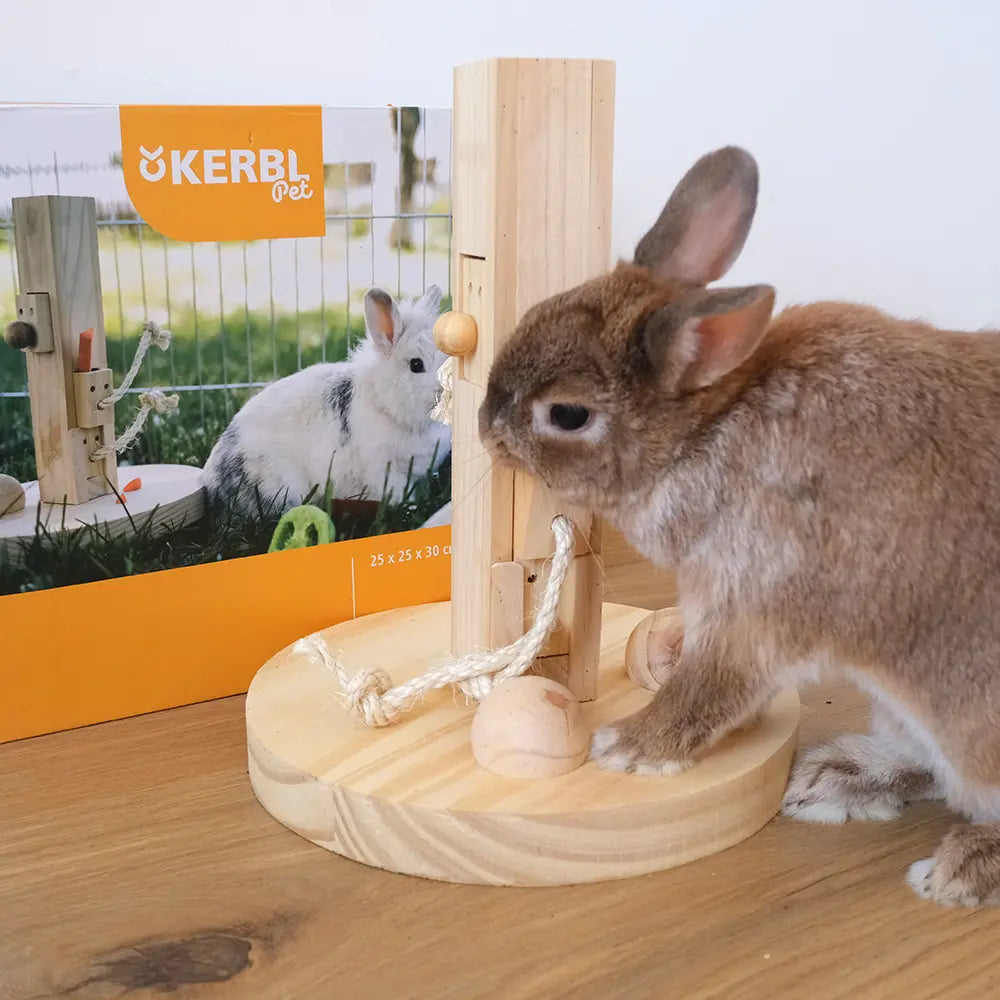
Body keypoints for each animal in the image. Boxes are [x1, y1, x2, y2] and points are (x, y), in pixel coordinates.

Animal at [478, 144, 1000, 908]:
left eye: (567, 414)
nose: (484, 426)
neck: (705, 430)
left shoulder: (754, 609)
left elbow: (708, 687)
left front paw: (629, 747)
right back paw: (835, 779)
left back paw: (957, 869)